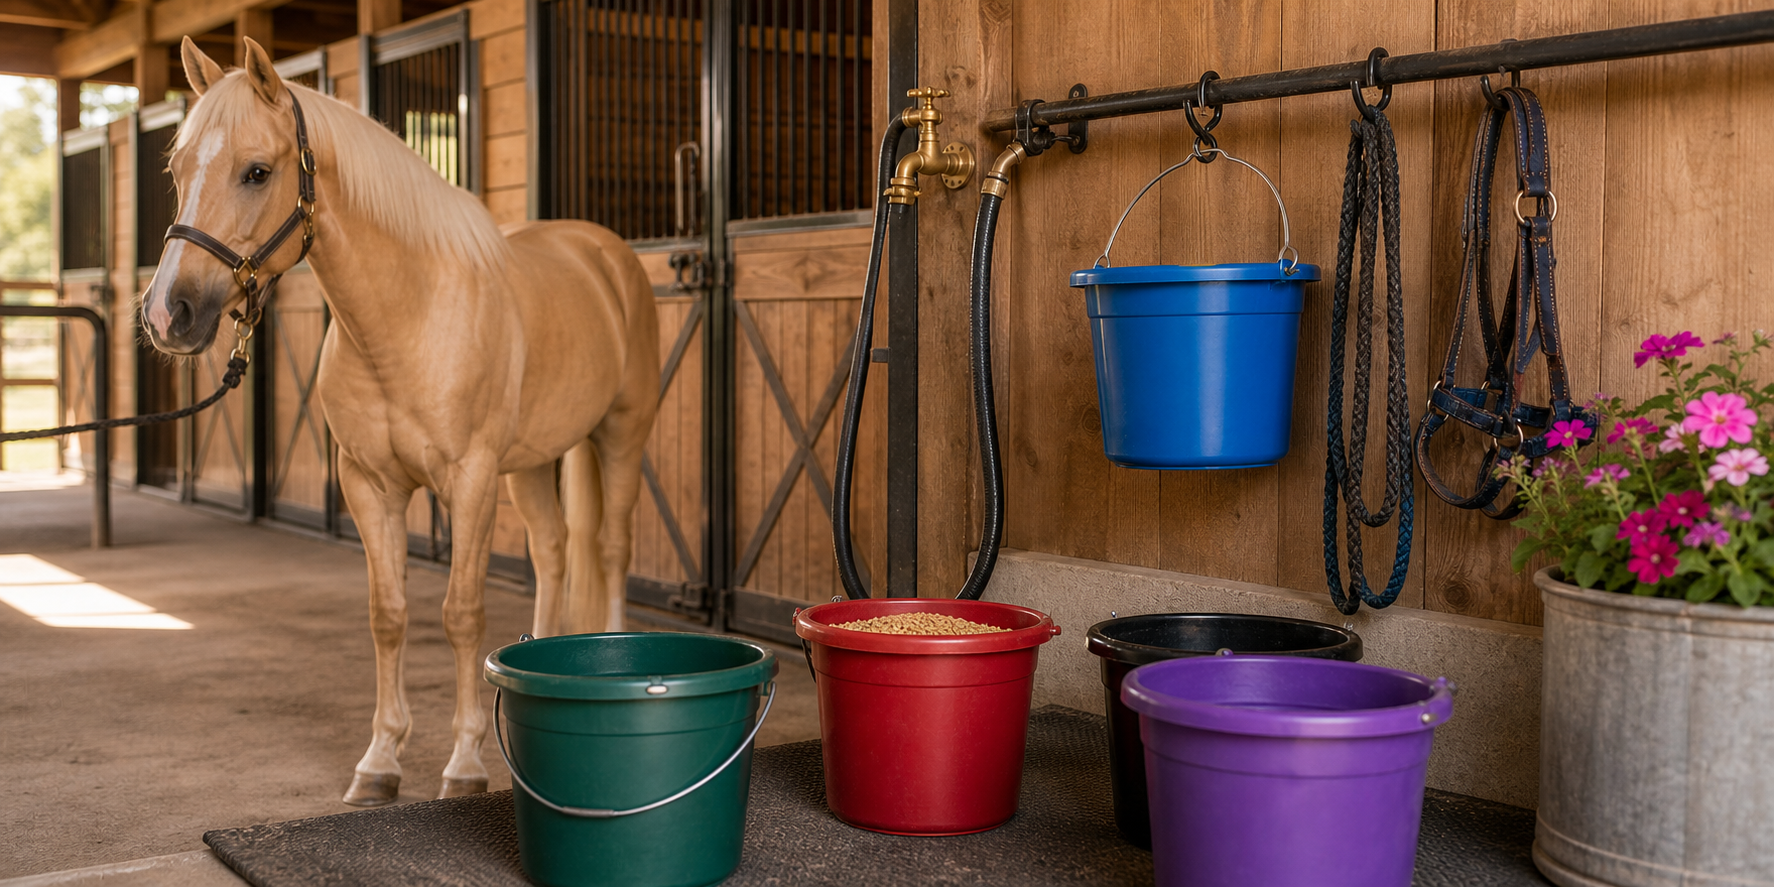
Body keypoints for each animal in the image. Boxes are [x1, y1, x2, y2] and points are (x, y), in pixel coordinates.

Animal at [141, 36, 659, 806]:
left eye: (256, 171)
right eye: (177, 171)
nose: (167, 314)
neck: (406, 315)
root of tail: (605, 253)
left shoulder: (469, 482)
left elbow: (461, 613)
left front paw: (465, 764)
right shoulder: (369, 484)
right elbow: (387, 615)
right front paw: (380, 761)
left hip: (620, 434)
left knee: (611, 549)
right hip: (533, 461)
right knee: (553, 550)